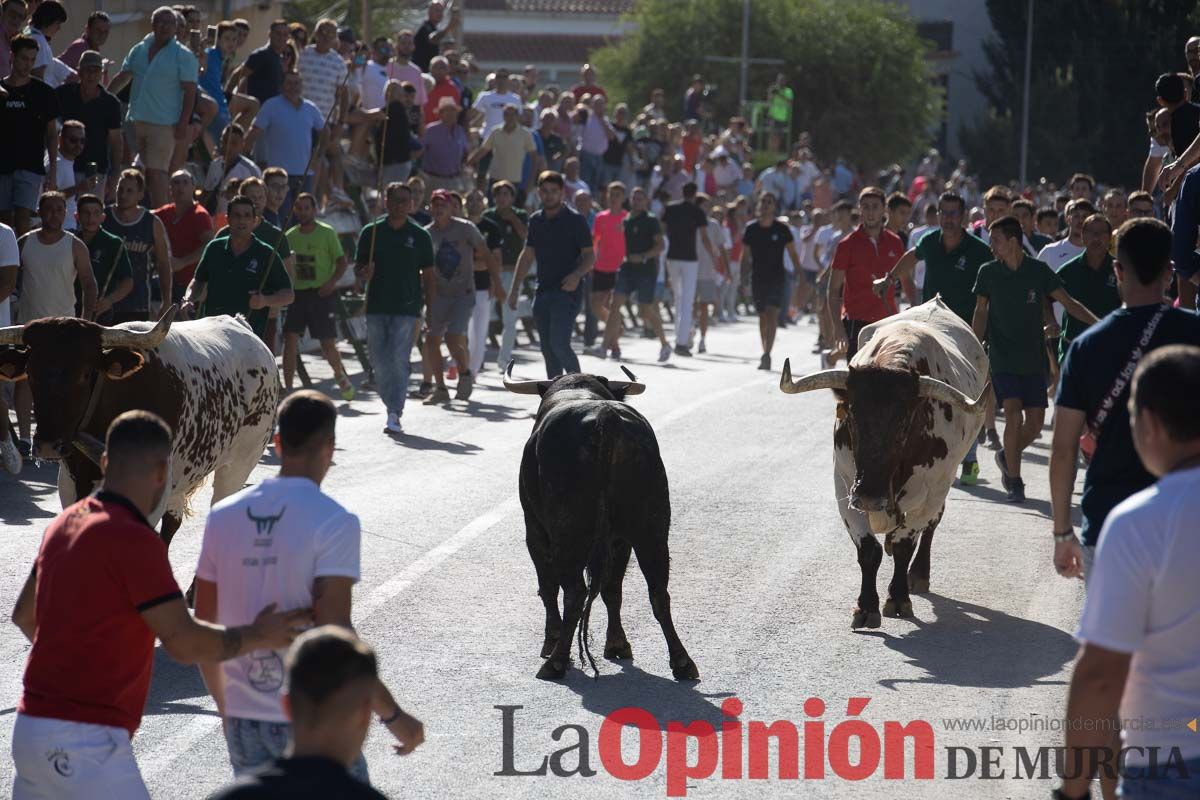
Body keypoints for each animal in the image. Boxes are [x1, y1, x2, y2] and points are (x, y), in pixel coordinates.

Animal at [0, 304, 278, 544]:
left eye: (86, 373)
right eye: (31, 372)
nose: (48, 445)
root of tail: (241, 325)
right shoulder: (70, 485)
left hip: (237, 468)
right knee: (172, 522)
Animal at [501, 367, 700, 686]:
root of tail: (606, 419)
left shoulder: (534, 531)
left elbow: (548, 586)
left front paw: (551, 641)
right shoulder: (619, 541)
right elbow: (612, 590)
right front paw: (617, 644)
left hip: (567, 533)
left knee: (573, 593)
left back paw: (555, 662)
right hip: (651, 531)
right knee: (657, 591)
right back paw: (682, 662)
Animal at [782, 297, 988, 628]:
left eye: (904, 423)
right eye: (851, 415)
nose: (869, 495)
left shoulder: (930, 490)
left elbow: (906, 544)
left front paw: (898, 598)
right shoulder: (844, 484)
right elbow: (869, 550)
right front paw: (866, 607)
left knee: (931, 525)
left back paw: (919, 574)